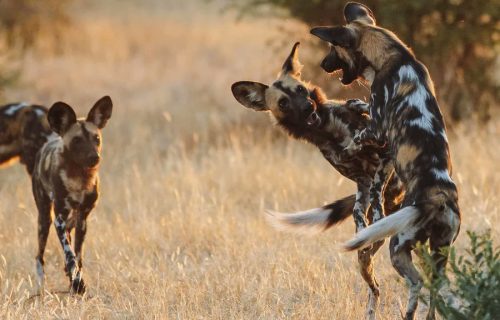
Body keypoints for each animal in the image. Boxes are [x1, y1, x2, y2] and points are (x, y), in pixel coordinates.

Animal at [34, 95, 113, 296]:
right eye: (77, 140)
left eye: (96, 138)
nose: (95, 157)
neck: (80, 179)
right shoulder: (59, 219)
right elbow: (69, 254)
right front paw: (78, 284)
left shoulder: (82, 219)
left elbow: (77, 256)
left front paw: (76, 281)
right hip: (44, 220)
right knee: (39, 256)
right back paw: (40, 286)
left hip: (72, 219)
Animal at [232, 43, 404, 320]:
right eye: (283, 102)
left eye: (300, 90)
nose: (307, 107)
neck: (329, 130)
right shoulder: (363, 180)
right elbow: (364, 206)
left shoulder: (384, 155)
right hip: (365, 257)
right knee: (373, 282)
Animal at [312, 3, 460, 320]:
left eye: (332, 48)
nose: (322, 64)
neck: (394, 55)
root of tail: (439, 195)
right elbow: (364, 106)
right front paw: (355, 103)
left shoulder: (378, 127)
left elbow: (358, 137)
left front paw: (346, 148)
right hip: (437, 254)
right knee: (434, 290)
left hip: (399, 245)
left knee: (415, 283)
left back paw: (408, 312)